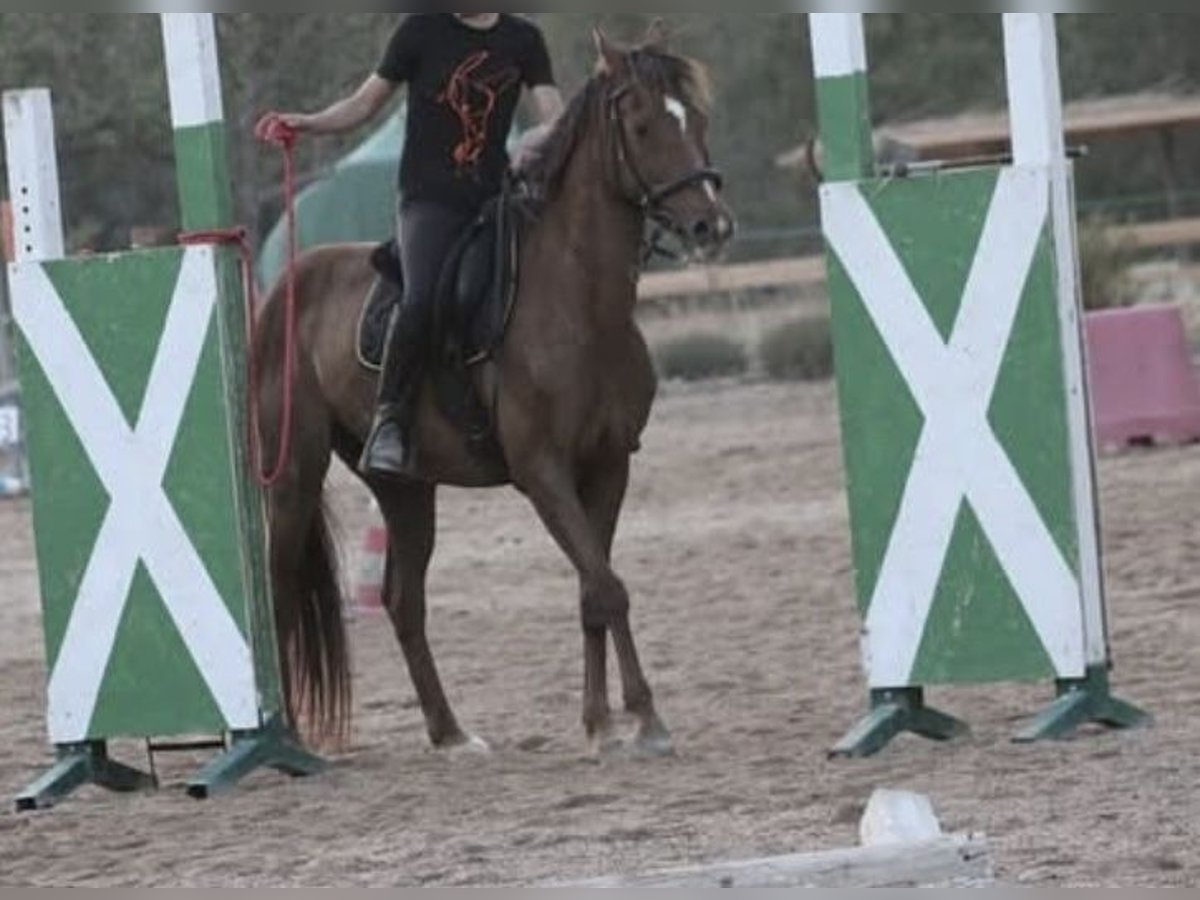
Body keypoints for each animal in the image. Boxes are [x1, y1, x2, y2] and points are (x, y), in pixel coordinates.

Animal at [258, 26, 734, 763]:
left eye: (698, 122)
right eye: (644, 126)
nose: (710, 226)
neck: (579, 305)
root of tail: (286, 283)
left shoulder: (607, 466)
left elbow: (594, 589)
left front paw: (608, 721)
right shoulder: (543, 473)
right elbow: (608, 587)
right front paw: (638, 720)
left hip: (404, 487)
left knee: (402, 600)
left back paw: (450, 732)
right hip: (294, 474)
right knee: (281, 587)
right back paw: (288, 738)